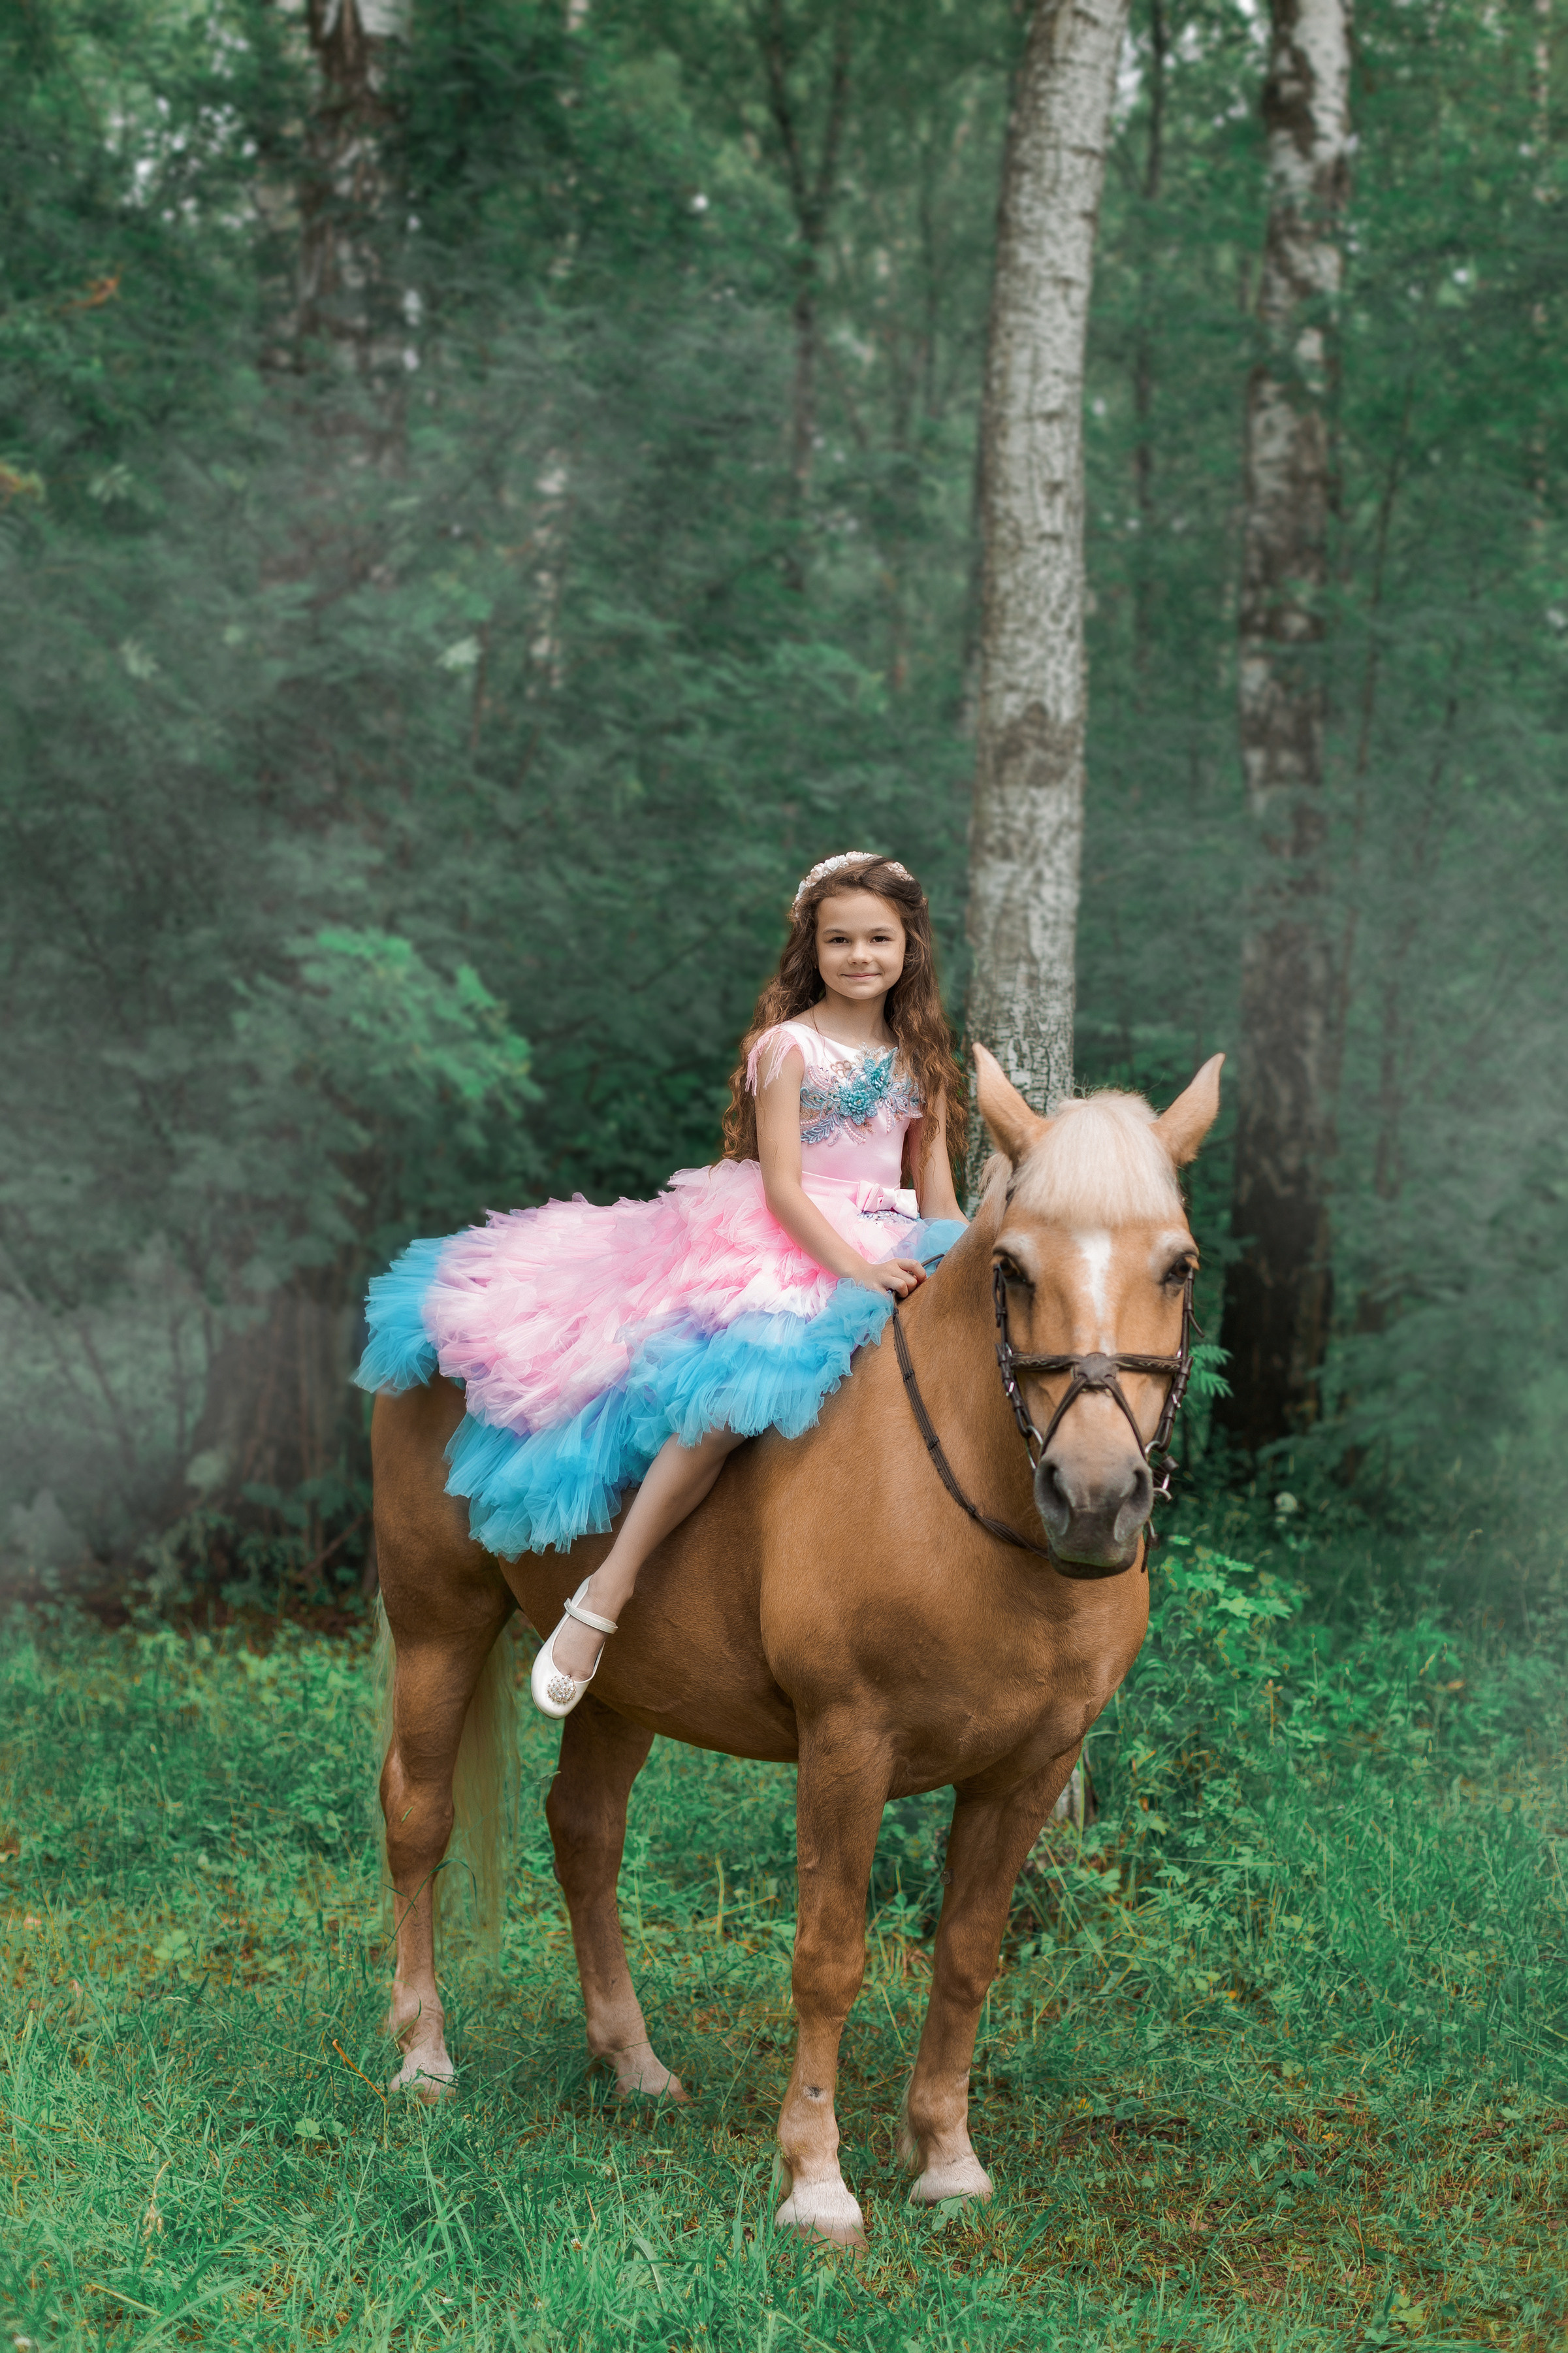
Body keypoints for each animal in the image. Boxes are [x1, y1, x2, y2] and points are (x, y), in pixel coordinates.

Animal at [370, 1044, 1223, 2247]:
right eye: (1011, 1268)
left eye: (1178, 1267)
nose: (1095, 1500)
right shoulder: (847, 1747)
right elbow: (827, 1958)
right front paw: (816, 2180)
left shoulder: (1028, 1768)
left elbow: (968, 1953)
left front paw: (946, 2156)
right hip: (437, 1625)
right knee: (418, 1816)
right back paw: (424, 2055)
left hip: (626, 1690)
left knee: (583, 1832)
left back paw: (632, 2063)